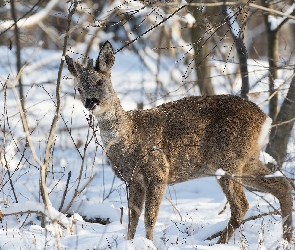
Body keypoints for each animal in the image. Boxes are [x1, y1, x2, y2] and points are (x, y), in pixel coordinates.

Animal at [65, 41, 294, 244]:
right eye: (79, 88)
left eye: (100, 82)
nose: (90, 103)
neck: (128, 136)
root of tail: (265, 119)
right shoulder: (133, 180)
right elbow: (132, 219)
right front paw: (129, 243)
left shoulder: (158, 171)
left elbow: (149, 218)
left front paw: (149, 243)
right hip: (247, 160)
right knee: (281, 184)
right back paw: (286, 238)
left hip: (228, 160)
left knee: (242, 205)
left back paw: (220, 243)